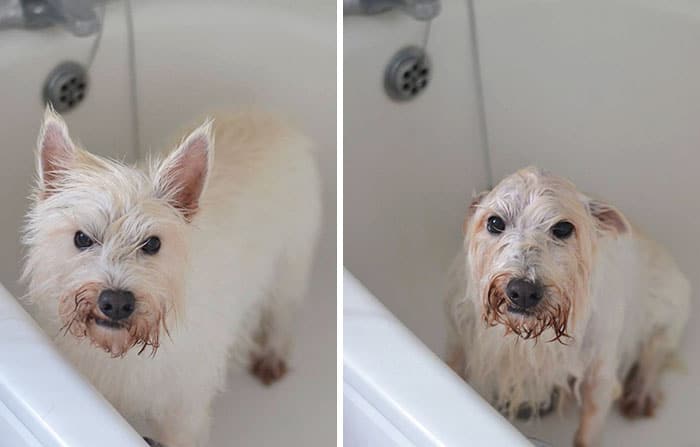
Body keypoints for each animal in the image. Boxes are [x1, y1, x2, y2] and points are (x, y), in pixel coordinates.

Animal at [19, 107, 320, 446]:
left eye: (152, 243)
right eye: (82, 238)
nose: (116, 302)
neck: (121, 354)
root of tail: (268, 118)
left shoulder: (184, 410)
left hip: (290, 260)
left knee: (282, 310)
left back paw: (272, 355)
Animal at [446, 168, 692, 447]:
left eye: (563, 228)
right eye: (495, 222)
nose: (523, 290)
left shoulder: (599, 373)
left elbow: (588, 431)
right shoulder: (459, 333)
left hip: (669, 305)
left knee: (657, 349)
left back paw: (641, 392)